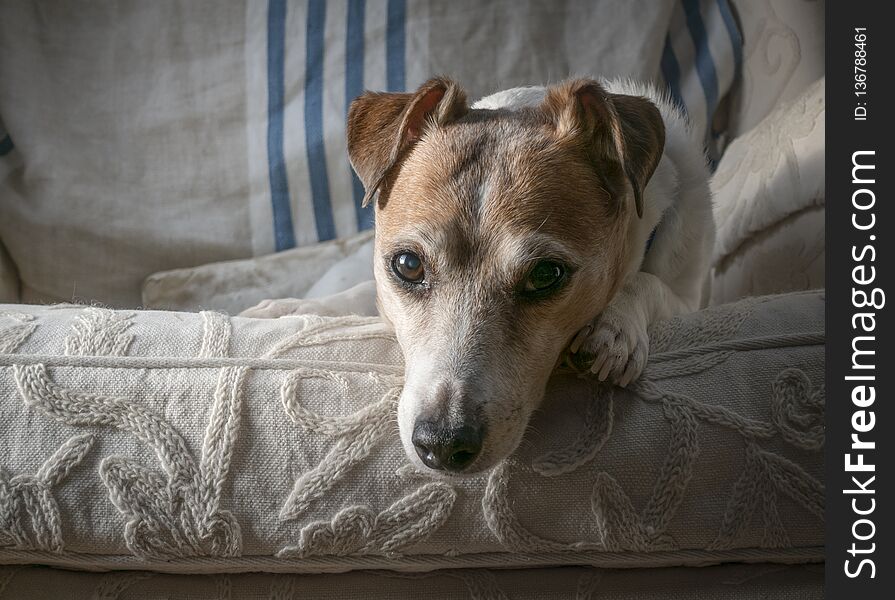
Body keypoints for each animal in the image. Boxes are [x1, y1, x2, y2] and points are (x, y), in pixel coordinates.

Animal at [243, 76, 712, 478]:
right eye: (407, 265)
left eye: (546, 274)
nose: (442, 444)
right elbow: (357, 293)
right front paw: (293, 310)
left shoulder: (691, 295)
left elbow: (648, 283)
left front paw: (614, 328)